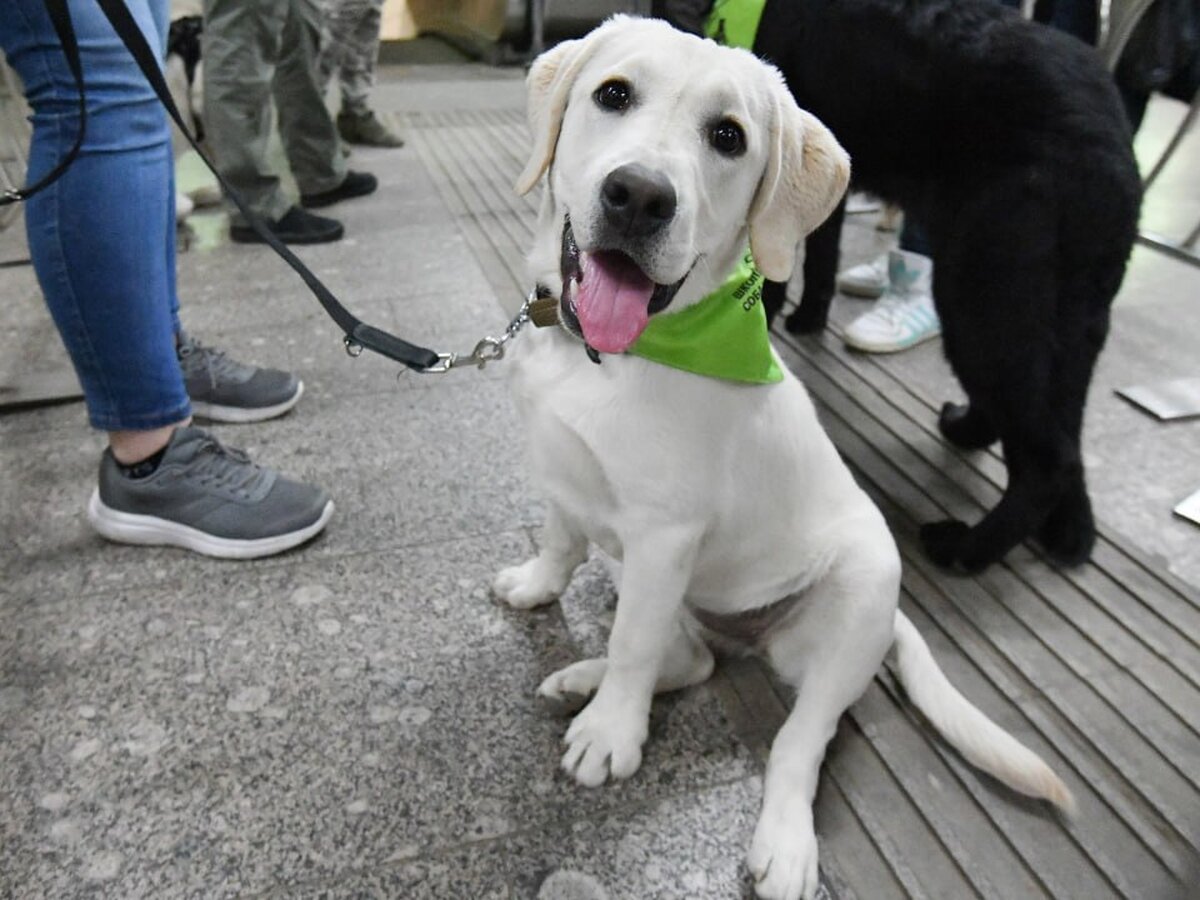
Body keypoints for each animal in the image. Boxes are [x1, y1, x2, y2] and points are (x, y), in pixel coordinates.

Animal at [492, 15, 1075, 900]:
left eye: (728, 137)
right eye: (613, 94)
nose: (640, 197)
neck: (610, 357)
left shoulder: (664, 536)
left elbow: (633, 645)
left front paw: (614, 735)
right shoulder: (566, 474)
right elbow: (562, 544)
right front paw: (537, 589)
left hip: (848, 611)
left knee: (799, 739)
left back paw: (784, 840)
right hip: (662, 586)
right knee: (692, 659)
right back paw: (581, 683)